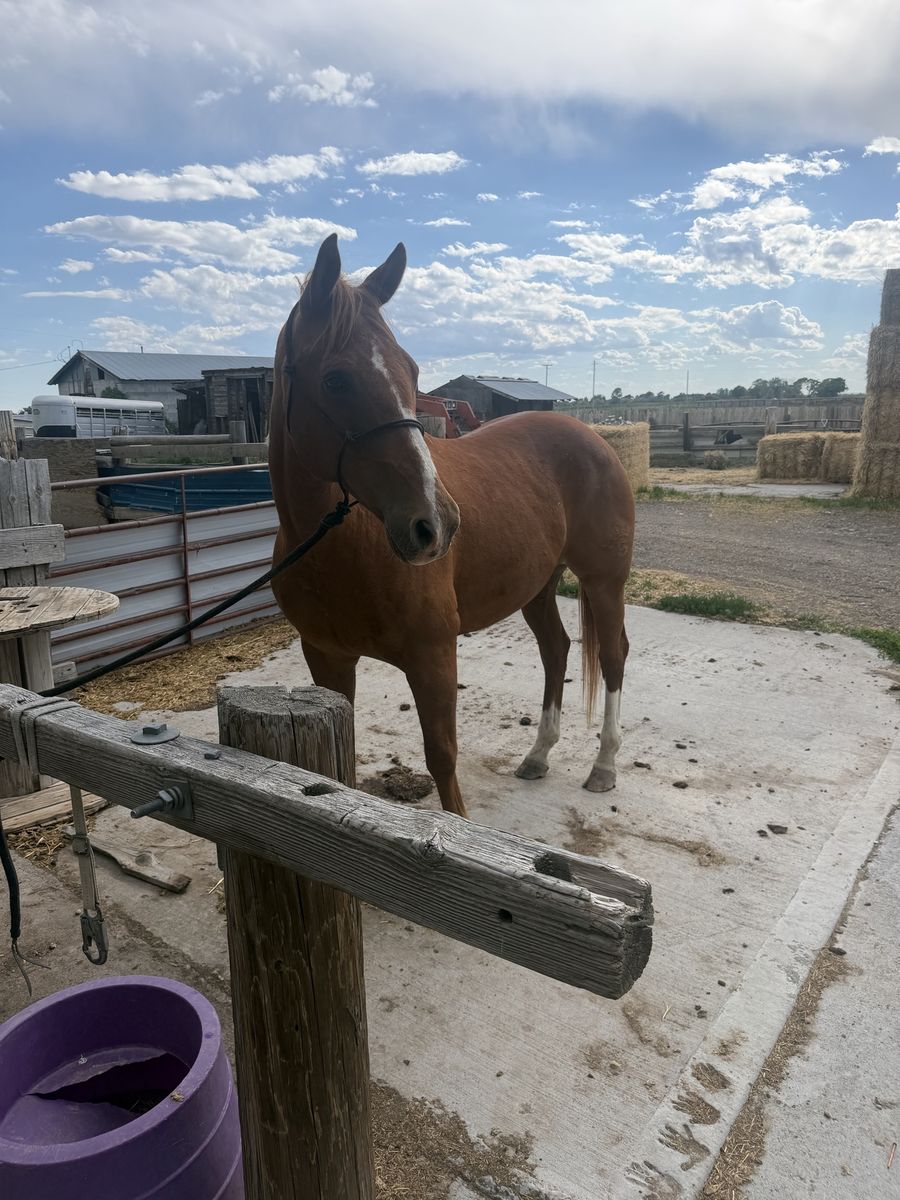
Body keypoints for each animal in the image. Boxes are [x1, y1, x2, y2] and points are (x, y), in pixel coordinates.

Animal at [268, 234, 635, 818]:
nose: (435, 524)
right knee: (556, 650)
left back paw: (603, 766)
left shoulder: (433, 656)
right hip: (538, 583)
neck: (342, 548)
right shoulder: (326, 657)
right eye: (335, 378)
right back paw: (539, 754)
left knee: (614, 655)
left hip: (604, 580)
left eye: (413, 371)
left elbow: (442, 759)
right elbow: (342, 762)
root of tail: (592, 436)